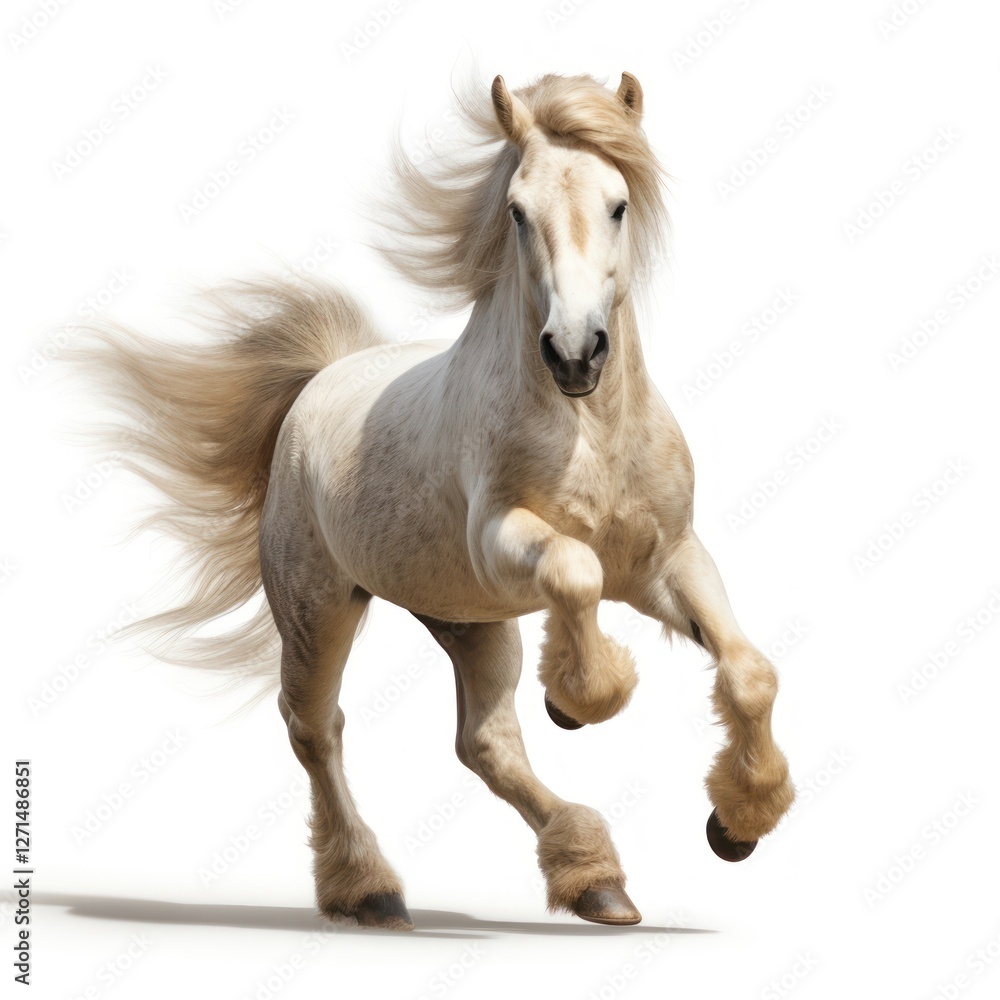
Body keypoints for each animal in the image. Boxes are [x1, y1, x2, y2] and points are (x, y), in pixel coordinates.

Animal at [73, 71, 794, 929]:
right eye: (517, 211)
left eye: (618, 203)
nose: (575, 353)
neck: (590, 431)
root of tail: (321, 381)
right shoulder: (505, 541)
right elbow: (576, 573)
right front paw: (581, 698)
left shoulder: (669, 561)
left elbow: (749, 671)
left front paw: (739, 822)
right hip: (321, 610)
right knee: (315, 727)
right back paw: (371, 890)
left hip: (470, 622)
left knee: (484, 743)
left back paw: (597, 882)